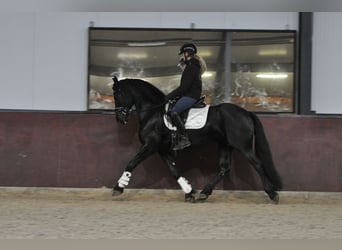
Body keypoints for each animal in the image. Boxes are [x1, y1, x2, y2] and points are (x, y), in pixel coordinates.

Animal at [111, 76, 282, 203]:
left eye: (118, 94)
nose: (120, 118)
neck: (153, 113)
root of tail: (246, 113)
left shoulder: (150, 145)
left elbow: (132, 163)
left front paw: (118, 188)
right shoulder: (162, 149)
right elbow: (173, 170)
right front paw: (189, 192)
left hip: (243, 146)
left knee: (258, 164)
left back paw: (273, 194)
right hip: (225, 145)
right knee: (224, 168)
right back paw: (204, 193)